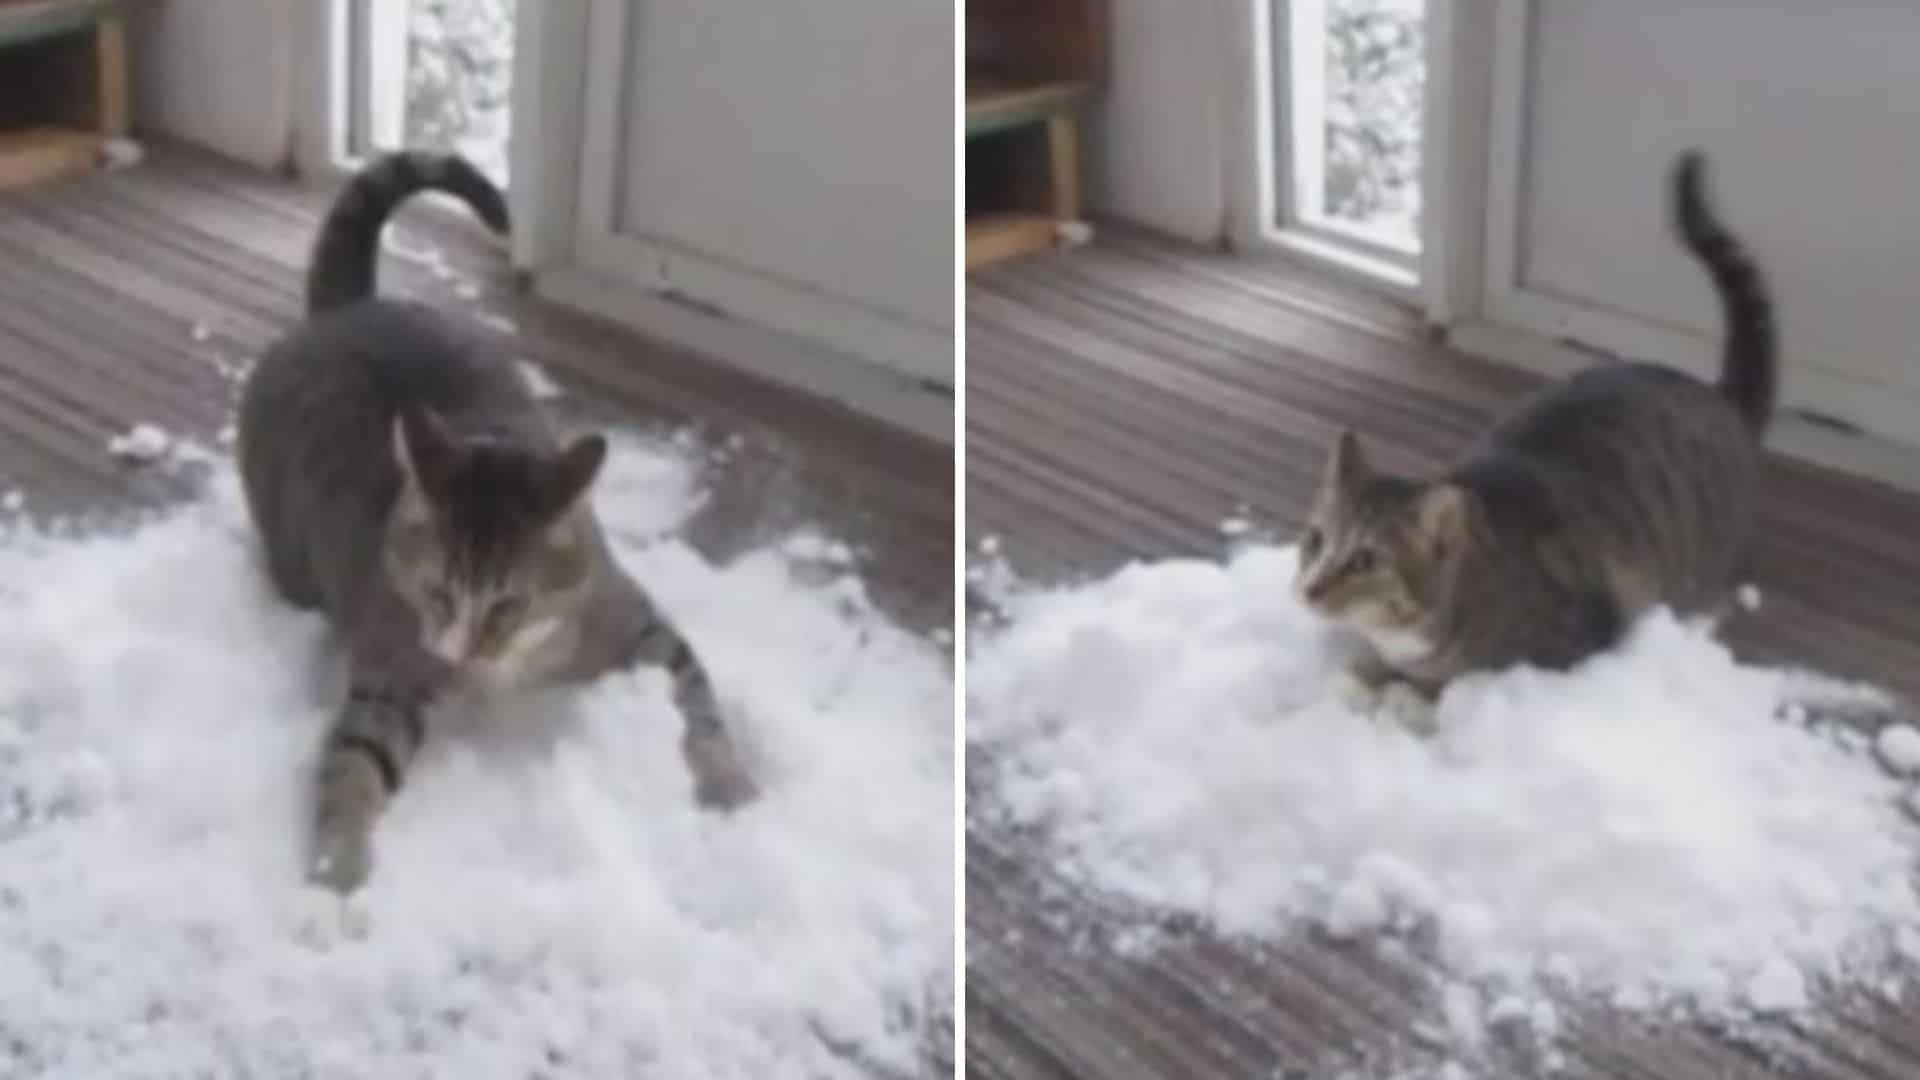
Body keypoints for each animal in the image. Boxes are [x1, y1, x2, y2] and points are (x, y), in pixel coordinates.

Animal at [234, 151, 756, 891]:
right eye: (436, 592)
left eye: (510, 604)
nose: (461, 656)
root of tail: (347, 307)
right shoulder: (395, 656)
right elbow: (357, 759)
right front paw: (332, 880)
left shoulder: (630, 620)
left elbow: (696, 707)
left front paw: (732, 790)